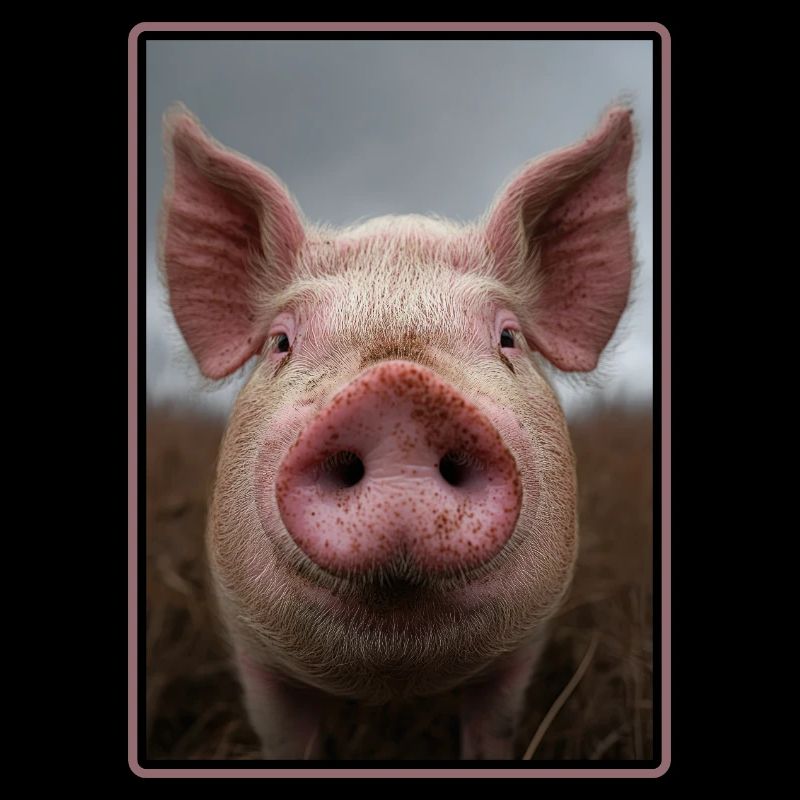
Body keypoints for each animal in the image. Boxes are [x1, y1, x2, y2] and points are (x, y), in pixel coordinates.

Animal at [158, 102, 636, 760]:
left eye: (508, 338)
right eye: (281, 342)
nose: (398, 392)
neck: (394, 678)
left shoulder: (520, 653)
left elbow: (493, 728)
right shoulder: (254, 654)